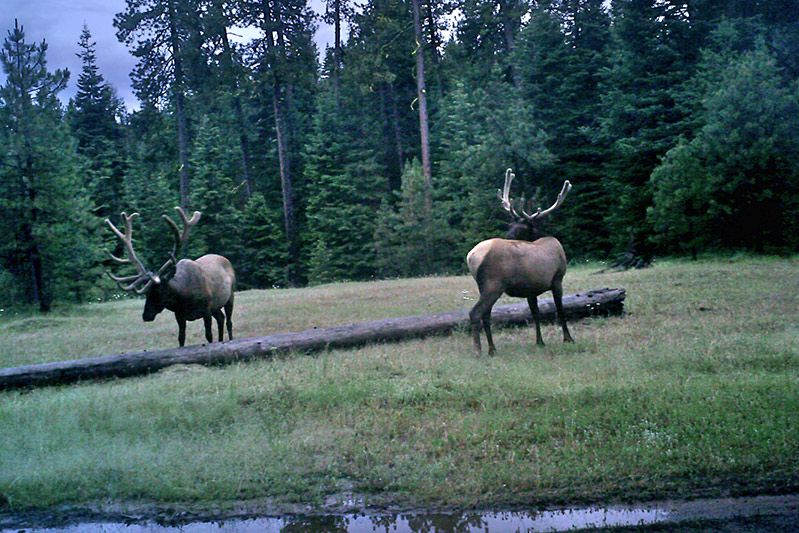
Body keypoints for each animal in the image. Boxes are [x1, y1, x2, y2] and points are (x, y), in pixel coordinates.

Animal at [106, 207, 236, 347]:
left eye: (158, 291)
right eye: (147, 293)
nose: (146, 315)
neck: (185, 297)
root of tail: (226, 259)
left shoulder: (206, 309)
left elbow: (209, 336)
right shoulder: (179, 315)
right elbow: (181, 338)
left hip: (230, 296)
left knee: (228, 321)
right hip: (216, 306)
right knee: (221, 318)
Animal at [466, 169, 574, 356]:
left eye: (521, 227)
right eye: (510, 224)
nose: (508, 236)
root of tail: (471, 257)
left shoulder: (531, 289)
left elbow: (535, 313)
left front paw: (540, 342)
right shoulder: (557, 279)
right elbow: (560, 310)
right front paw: (568, 338)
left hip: (484, 286)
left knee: (486, 314)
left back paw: (492, 349)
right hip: (494, 284)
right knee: (475, 313)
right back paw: (478, 351)